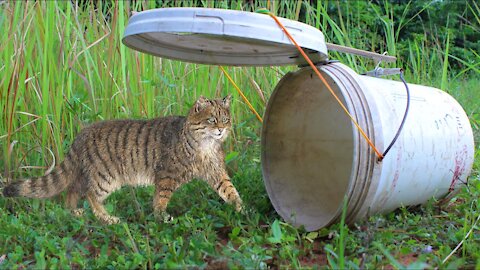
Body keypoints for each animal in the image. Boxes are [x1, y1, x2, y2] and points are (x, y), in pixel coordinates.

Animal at [1, 95, 244, 224]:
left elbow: (230, 191)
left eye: (226, 119)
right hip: (105, 178)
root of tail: (82, 134)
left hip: (88, 175)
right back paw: (107, 218)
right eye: (212, 120)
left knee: (72, 192)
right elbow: (161, 199)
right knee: (90, 196)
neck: (204, 146)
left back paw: (75, 212)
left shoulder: (217, 172)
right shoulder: (166, 175)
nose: (222, 130)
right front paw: (160, 217)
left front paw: (242, 210)